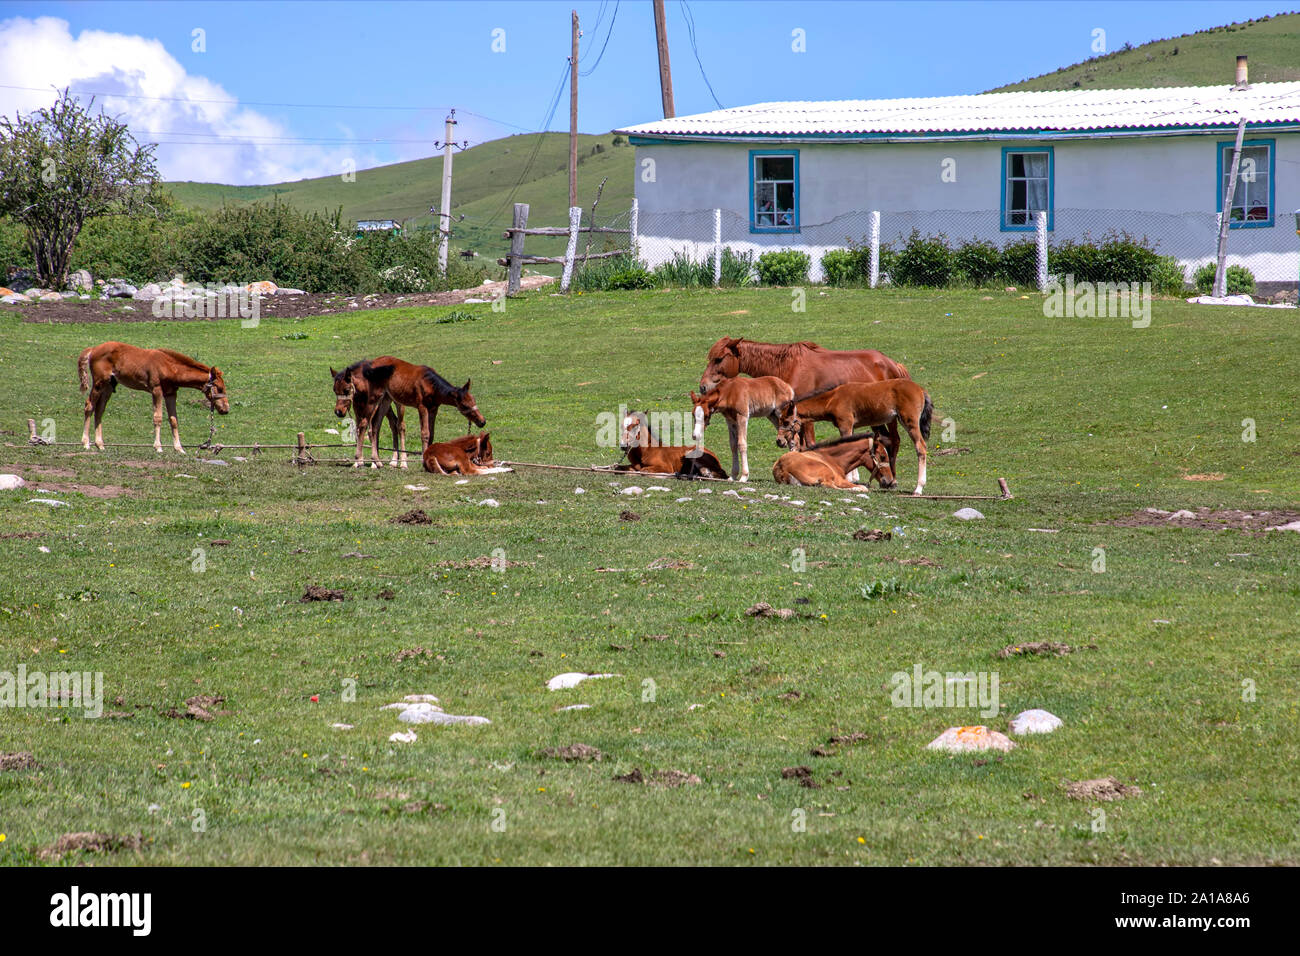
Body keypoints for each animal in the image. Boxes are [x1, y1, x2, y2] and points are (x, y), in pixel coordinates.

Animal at [77, 343, 228, 455]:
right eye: (220, 388)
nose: (225, 409)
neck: (169, 367)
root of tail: (93, 349)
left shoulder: (171, 393)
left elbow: (173, 420)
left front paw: (179, 448)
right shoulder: (156, 390)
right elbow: (158, 417)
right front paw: (158, 447)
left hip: (108, 386)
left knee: (99, 410)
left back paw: (100, 445)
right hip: (99, 382)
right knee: (89, 405)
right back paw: (86, 443)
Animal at [702, 338, 915, 473]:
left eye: (719, 359)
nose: (703, 386)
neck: (789, 365)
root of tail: (893, 364)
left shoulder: (806, 417)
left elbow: (808, 444)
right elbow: (799, 443)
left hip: (892, 418)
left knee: (894, 441)